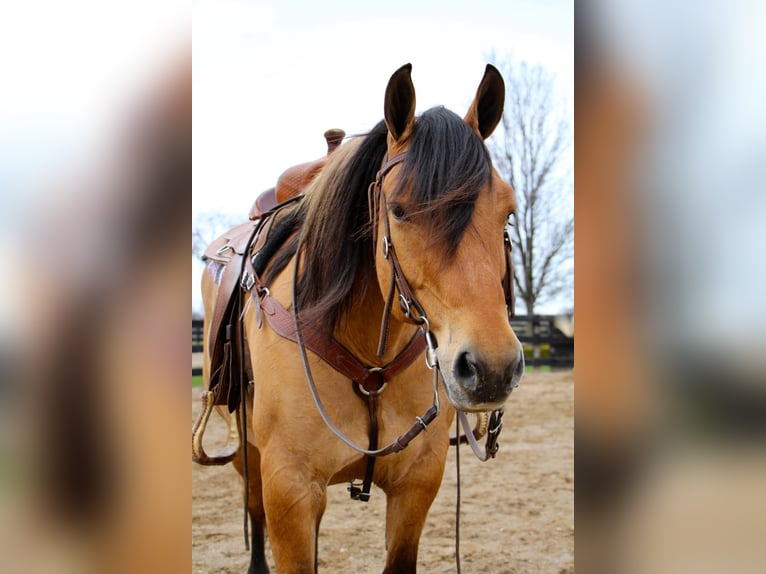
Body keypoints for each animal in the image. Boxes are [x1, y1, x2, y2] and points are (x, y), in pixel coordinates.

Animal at [198, 65, 528, 572]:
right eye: (399, 210)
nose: (492, 368)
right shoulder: (289, 486)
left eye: (507, 214)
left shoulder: (416, 485)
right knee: (253, 509)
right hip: (247, 446)